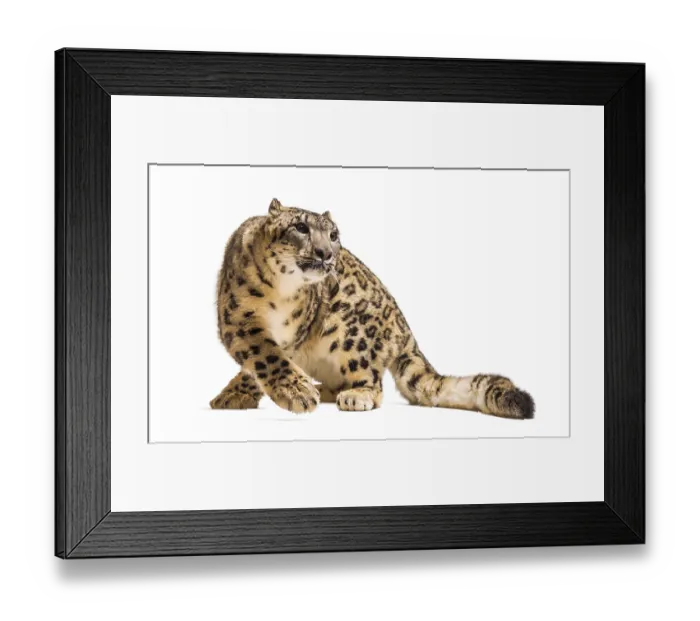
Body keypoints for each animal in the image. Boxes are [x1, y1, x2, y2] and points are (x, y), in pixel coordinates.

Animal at [210, 198, 535, 419]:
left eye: (333, 235)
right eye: (300, 227)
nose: (326, 254)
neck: (283, 291)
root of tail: (404, 328)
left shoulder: (294, 332)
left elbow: (269, 358)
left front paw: (296, 393)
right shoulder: (239, 319)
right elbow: (264, 356)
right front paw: (247, 394)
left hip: (351, 335)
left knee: (373, 382)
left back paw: (354, 395)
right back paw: (322, 389)